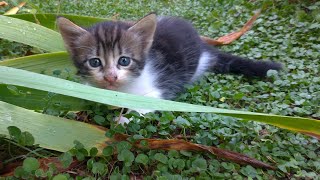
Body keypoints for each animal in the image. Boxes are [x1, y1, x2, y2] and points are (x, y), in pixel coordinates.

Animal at [56, 13, 282, 116]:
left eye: (124, 60)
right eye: (95, 62)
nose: (110, 77)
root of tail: (203, 45)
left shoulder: (160, 88)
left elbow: (142, 106)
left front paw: (123, 120)